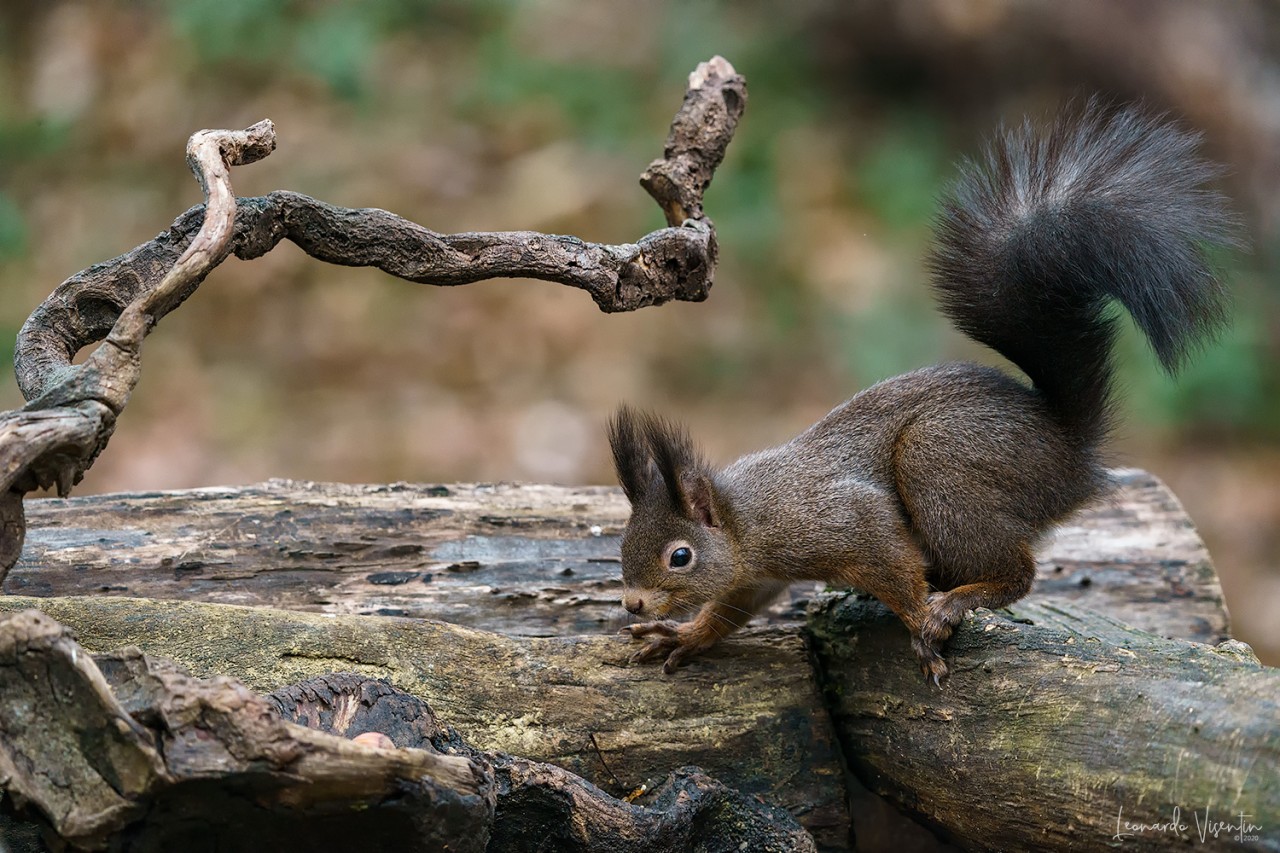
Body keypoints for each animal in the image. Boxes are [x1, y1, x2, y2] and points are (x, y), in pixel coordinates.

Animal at [607, 103, 1237, 684]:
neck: (745, 518)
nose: (632, 603)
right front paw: (686, 636)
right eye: (626, 539)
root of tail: (1070, 453)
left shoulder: (839, 521)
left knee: (1018, 572)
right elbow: (734, 607)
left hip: (941, 463)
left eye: (680, 556)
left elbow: (890, 561)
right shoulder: (755, 574)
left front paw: (920, 624)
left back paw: (955, 601)